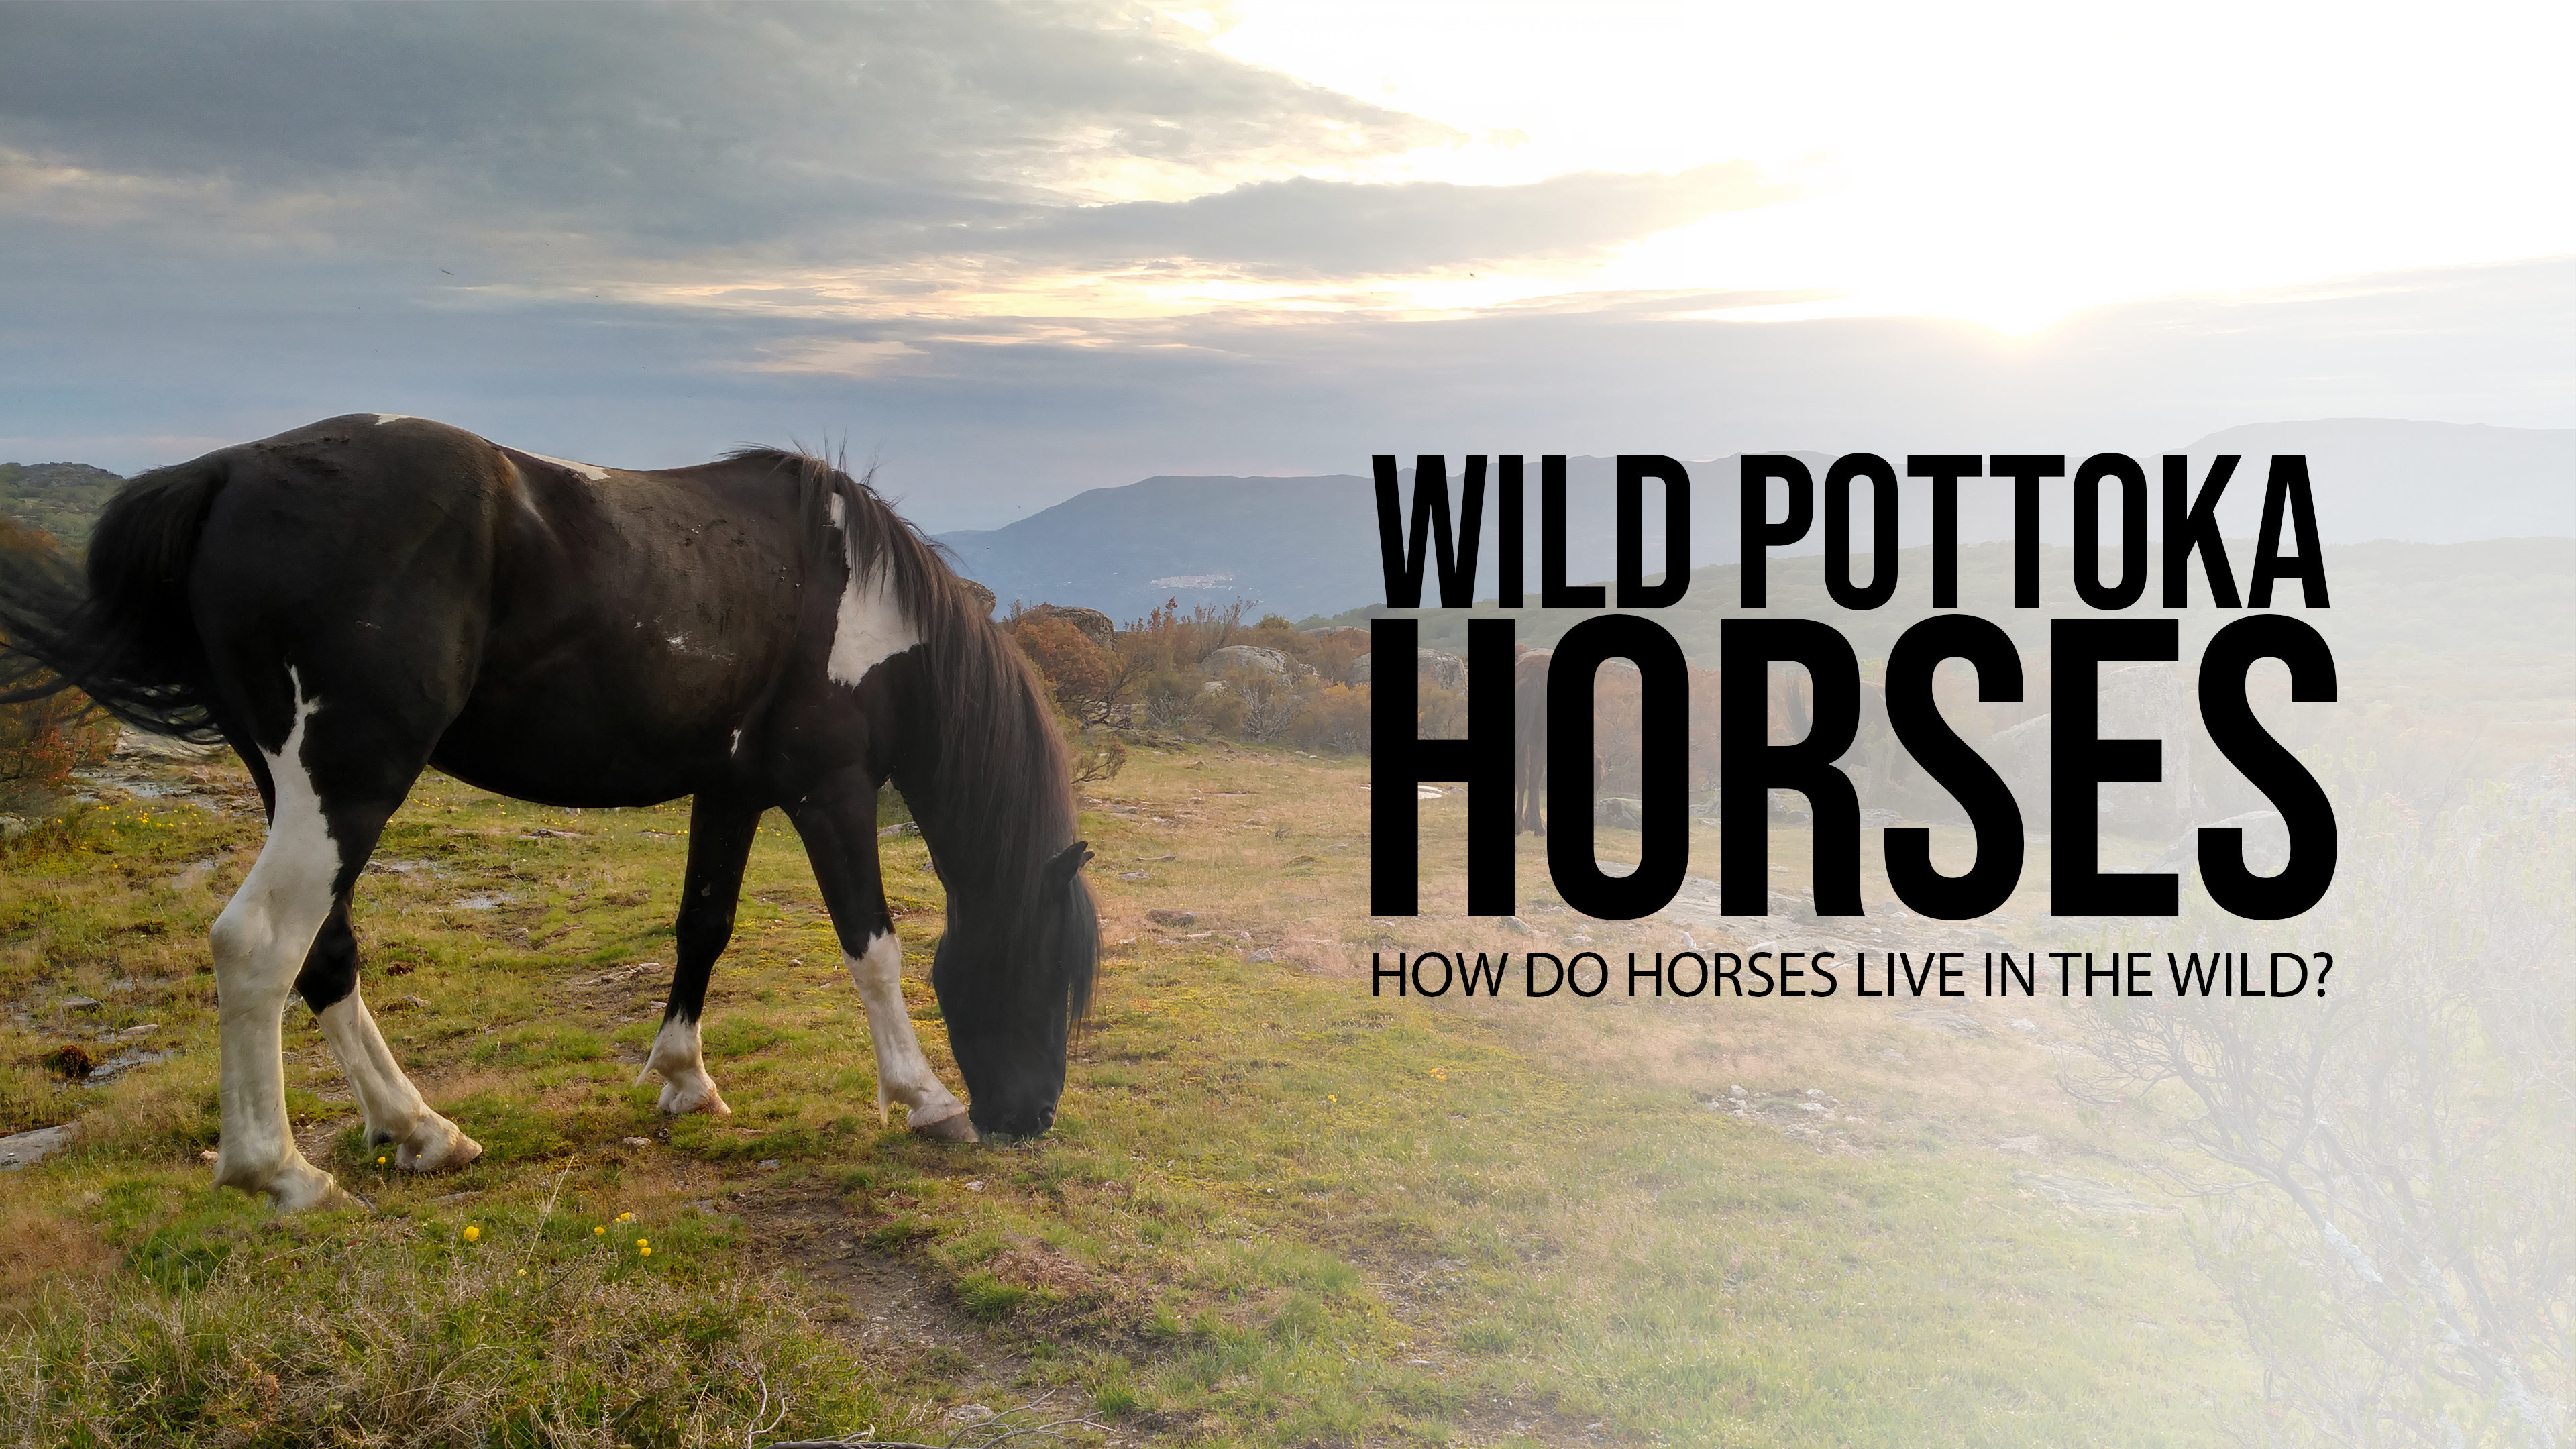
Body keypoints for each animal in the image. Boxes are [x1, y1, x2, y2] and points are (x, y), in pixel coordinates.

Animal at [0, 415, 1096, 1211]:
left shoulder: (730, 790)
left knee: (325, 951)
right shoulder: (830, 788)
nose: (1034, 1118)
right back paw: (278, 1172)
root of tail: (226, 475)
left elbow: (704, 926)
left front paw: (684, 1077)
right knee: (259, 943)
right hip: (351, 782)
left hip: (304, 790)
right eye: (1050, 973)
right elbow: (873, 947)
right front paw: (923, 1098)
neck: (861, 598)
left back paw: (419, 1131)